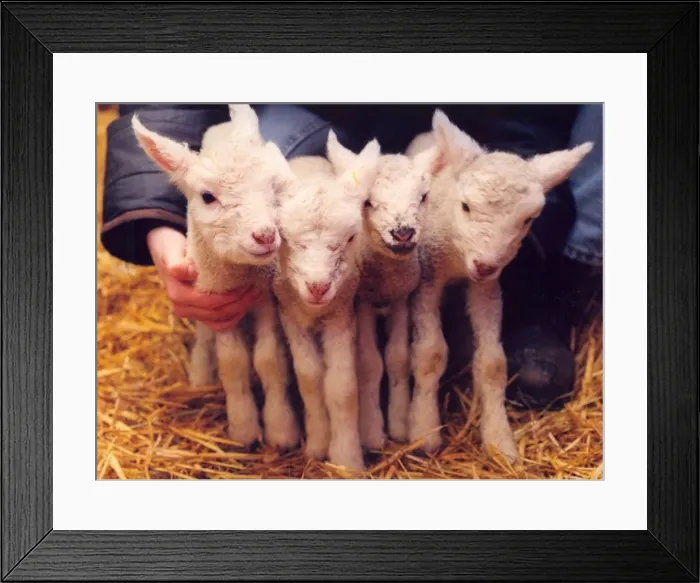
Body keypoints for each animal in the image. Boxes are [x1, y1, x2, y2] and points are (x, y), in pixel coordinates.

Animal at [131, 104, 301, 452]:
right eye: (208, 197)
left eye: (271, 186)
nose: (265, 235)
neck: (240, 273)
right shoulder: (215, 300)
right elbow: (233, 362)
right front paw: (244, 427)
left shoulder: (265, 298)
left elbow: (268, 358)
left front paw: (280, 429)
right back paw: (200, 374)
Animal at [272, 134, 382, 471]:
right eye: (285, 238)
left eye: (349, 238)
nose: (318, 286)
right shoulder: (290, 314)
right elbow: (310, 379)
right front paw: (318, 444)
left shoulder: (341, 314)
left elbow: (342, 387)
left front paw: (347, 459)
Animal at [325, 132, 440, 448]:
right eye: (367, 202)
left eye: (423, 196)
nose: (402, 233)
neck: (386, 279)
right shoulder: (362, 300)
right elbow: (369, 363)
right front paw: (371, 432)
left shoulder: (402, 297)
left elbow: (397, 358)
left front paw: (400, 424)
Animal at [405, 109, 593, 462]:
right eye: (466, 206)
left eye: (527, 220)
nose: (485, 264)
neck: (456, 256)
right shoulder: (427, 277)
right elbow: (430, 352)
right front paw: (424, 432)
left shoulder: (486, 289)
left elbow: (493, 364)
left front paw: (498, 440)